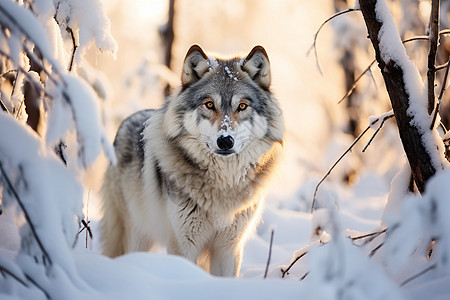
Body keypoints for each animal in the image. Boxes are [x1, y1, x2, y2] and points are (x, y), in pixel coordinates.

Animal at [102, 44, 284, 276]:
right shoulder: (184, 245)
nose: (225, 140)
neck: (224, 184)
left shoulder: (228, 249)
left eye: (242, 106)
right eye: (209, 104)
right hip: (136, 234)